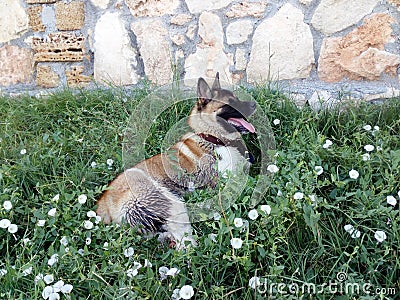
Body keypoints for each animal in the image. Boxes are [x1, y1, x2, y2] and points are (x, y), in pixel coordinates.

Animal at [95, 72, 255, 248]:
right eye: (231, 102)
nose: (254, 104)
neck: (211, 137)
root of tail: (103, 205)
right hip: (170, 201)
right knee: (183, 243)